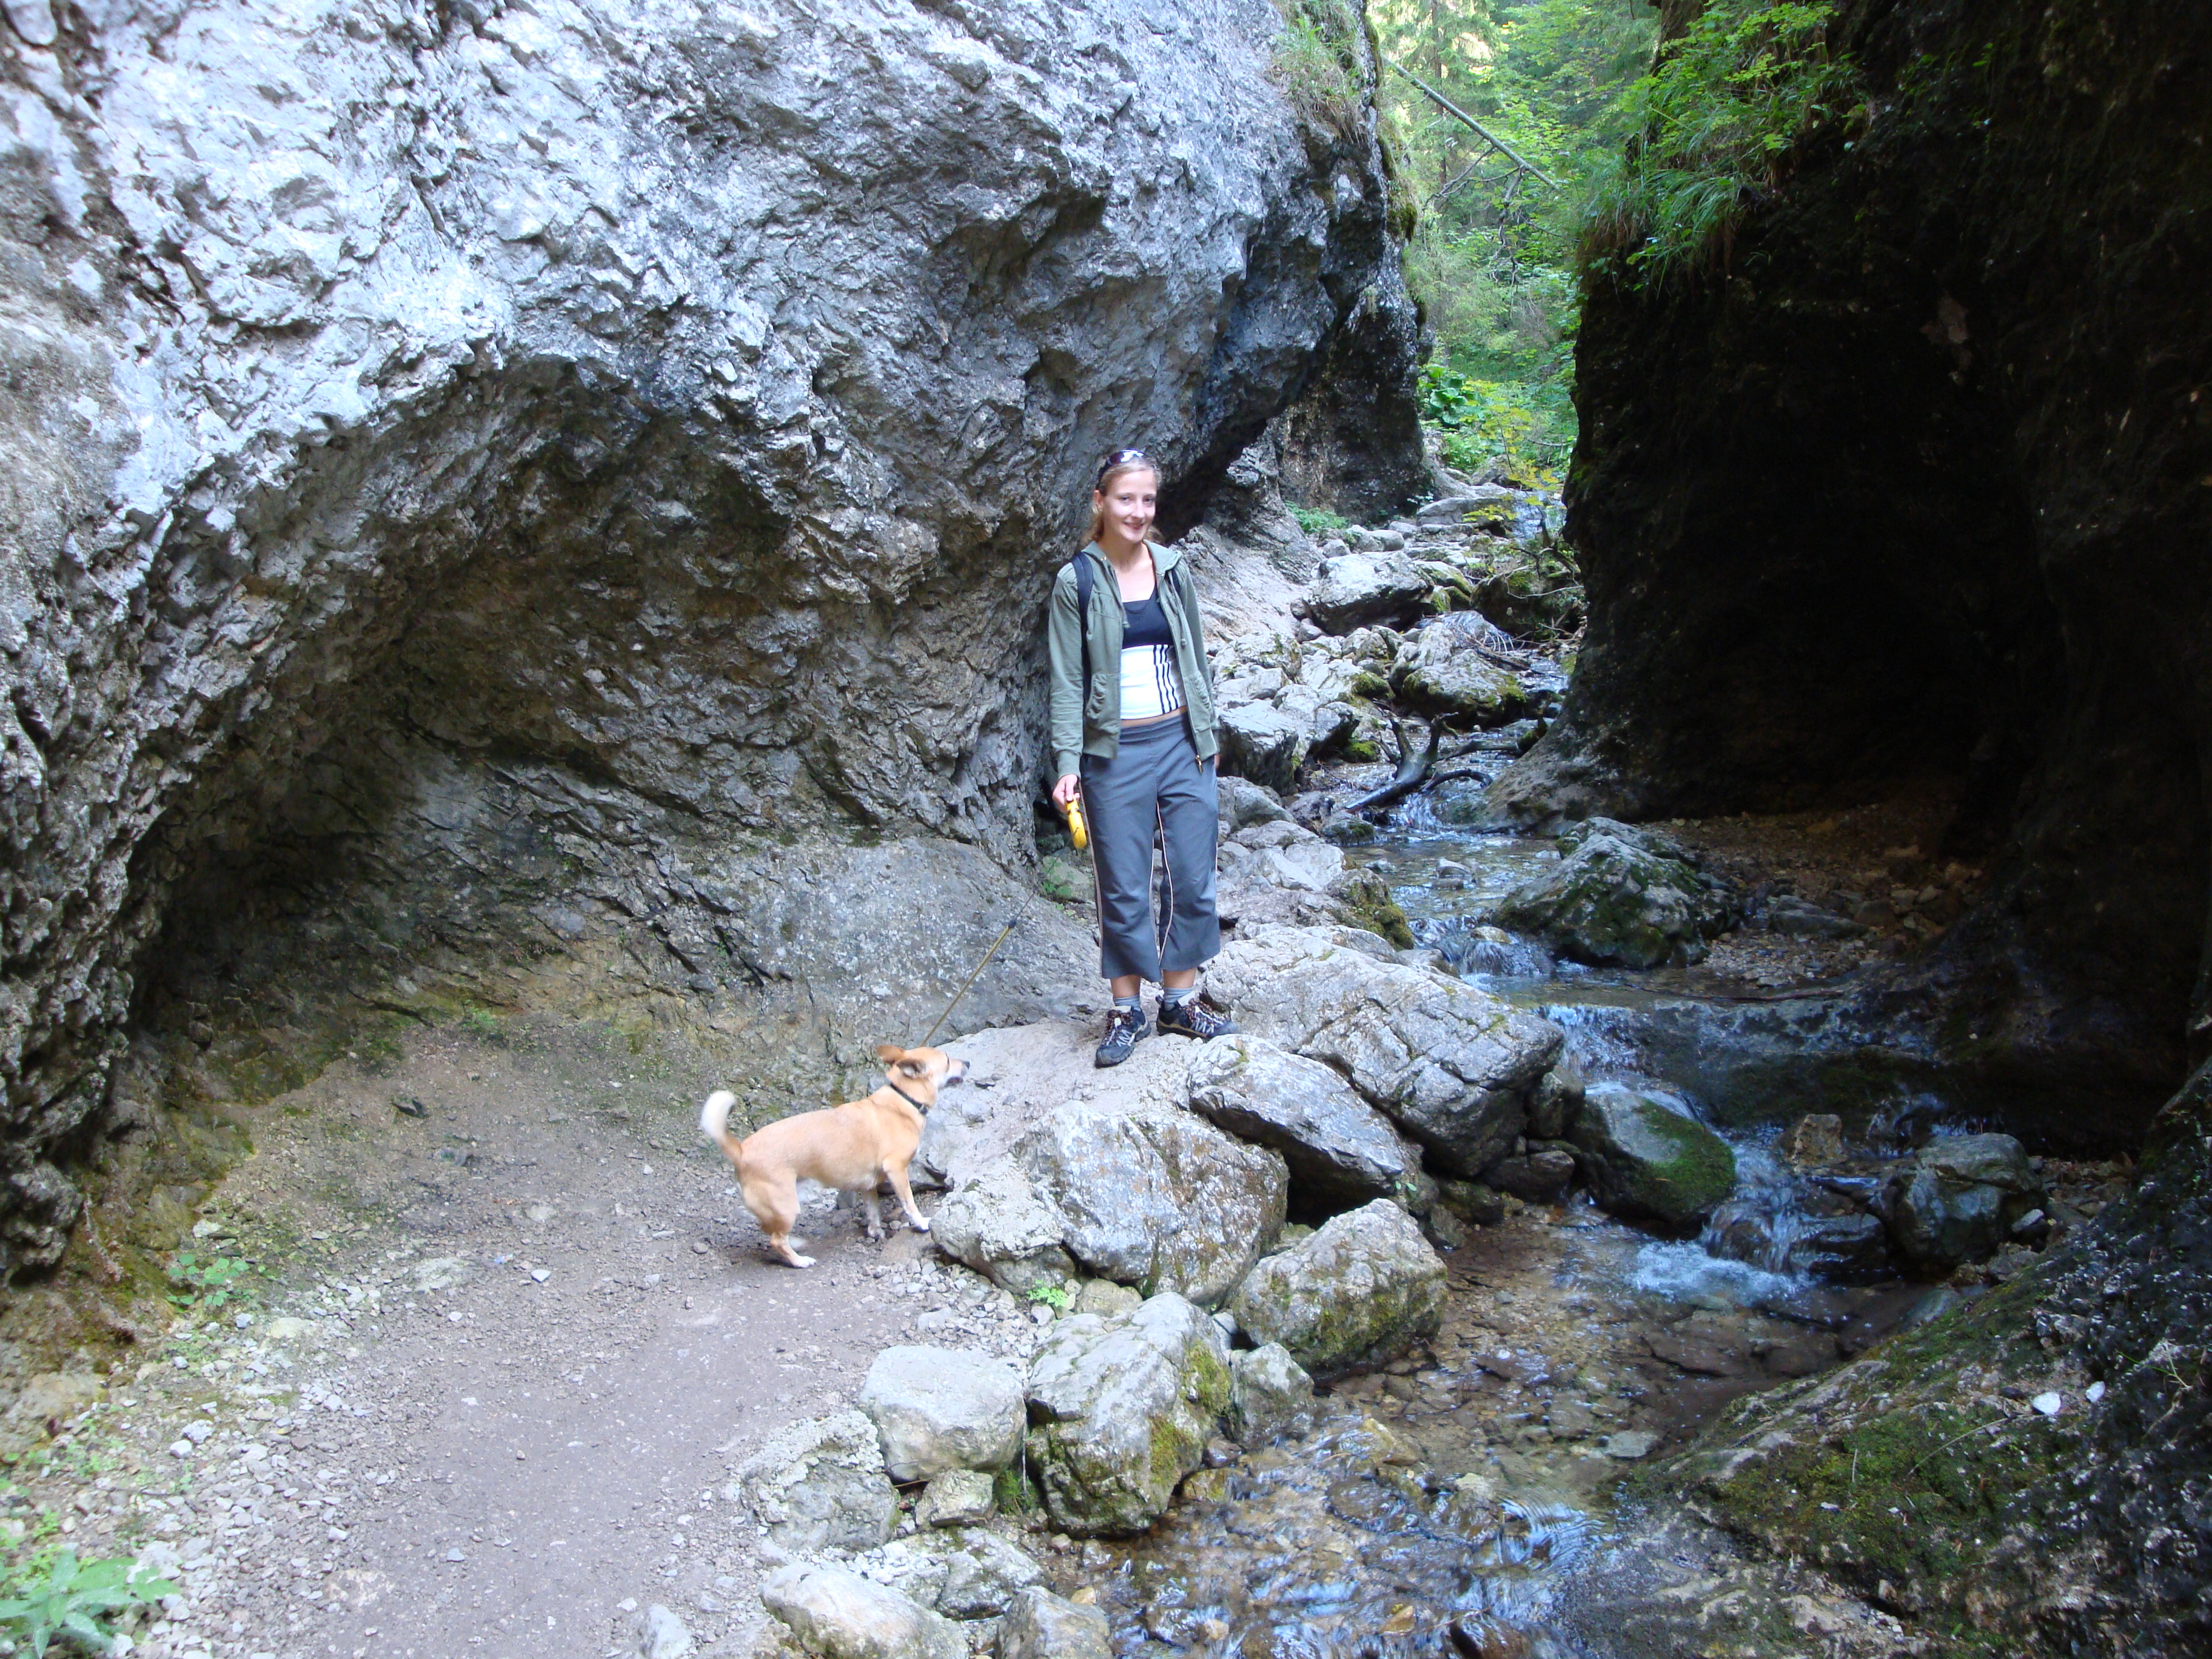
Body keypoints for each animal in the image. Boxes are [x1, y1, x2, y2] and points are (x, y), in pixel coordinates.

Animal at [698, 1044, 966, 1268]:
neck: (903, 1099)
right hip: (786, 1205)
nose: (968, 1063)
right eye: (948, 1060)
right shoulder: (897, 1170)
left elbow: (873, 1211)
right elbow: (909, 1204)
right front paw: (921, 1224)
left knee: (770, 1230)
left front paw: (875, 1232)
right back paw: (800, 1261)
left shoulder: (869, 1185)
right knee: (776, 1240)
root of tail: (741, 1150)